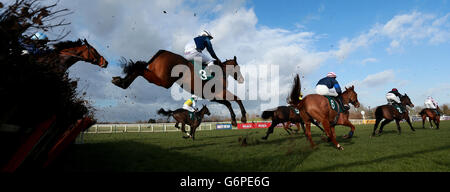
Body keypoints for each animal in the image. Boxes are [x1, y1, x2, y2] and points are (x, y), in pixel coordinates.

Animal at [111, 50, 246, 127]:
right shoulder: (219, 92)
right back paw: (122, 82)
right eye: (238, 67)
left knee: (138, 68)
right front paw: (243, 117)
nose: (241, 80)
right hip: (165, 81)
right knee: (139, 69)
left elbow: (228, 103)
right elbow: (236, 99)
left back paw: (120, 82)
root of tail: (163, 52)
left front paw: (234, 120)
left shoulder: (213, 96)